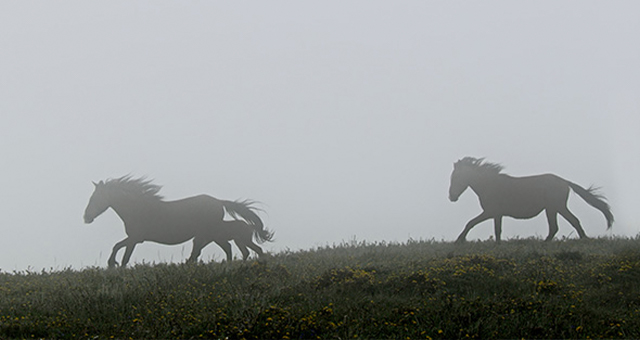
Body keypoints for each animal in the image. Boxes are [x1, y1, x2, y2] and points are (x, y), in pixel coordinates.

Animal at [82, 177, 272, 266]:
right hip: (210, 234)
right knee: (220, 248)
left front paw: (114, 266)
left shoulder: (135, 238)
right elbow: (117, 247)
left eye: (95, 198)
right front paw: (112, 264)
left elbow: (123, 254)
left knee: (213, 249)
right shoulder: (135, 238)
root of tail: (219, 202)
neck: (137, 209)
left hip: (209, 233)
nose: (86, 217)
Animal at [448, 158, 612, 243]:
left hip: (556, 207)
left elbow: (471, 223)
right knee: (559, 226)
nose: (451, 197)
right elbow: (497, 230)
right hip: (553, 208)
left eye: (456, 177)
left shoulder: (491, 211)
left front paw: (458, 240)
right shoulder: (496, 214)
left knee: (568, 222)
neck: (489, 184)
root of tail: (565, 181)